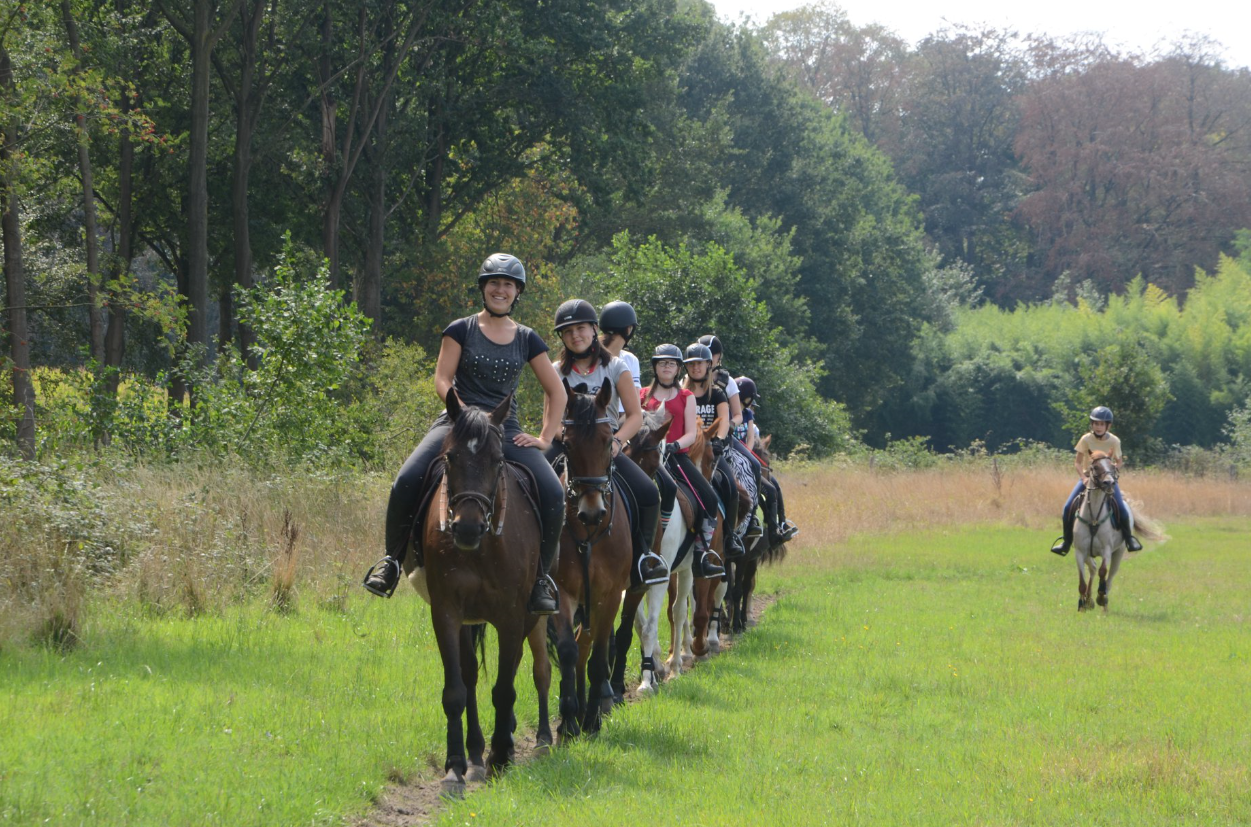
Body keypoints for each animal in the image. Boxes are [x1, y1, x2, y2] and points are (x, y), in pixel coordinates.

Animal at [400, 392, 537, 795]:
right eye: (450, 457)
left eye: (497, 460)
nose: (467, 528)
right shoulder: (446, 612)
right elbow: (455, 690)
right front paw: (455, 767)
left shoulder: (511, 615)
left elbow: (505, 687)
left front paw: (502, 756)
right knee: (471, 675)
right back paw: (475, 754)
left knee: (510, 667)